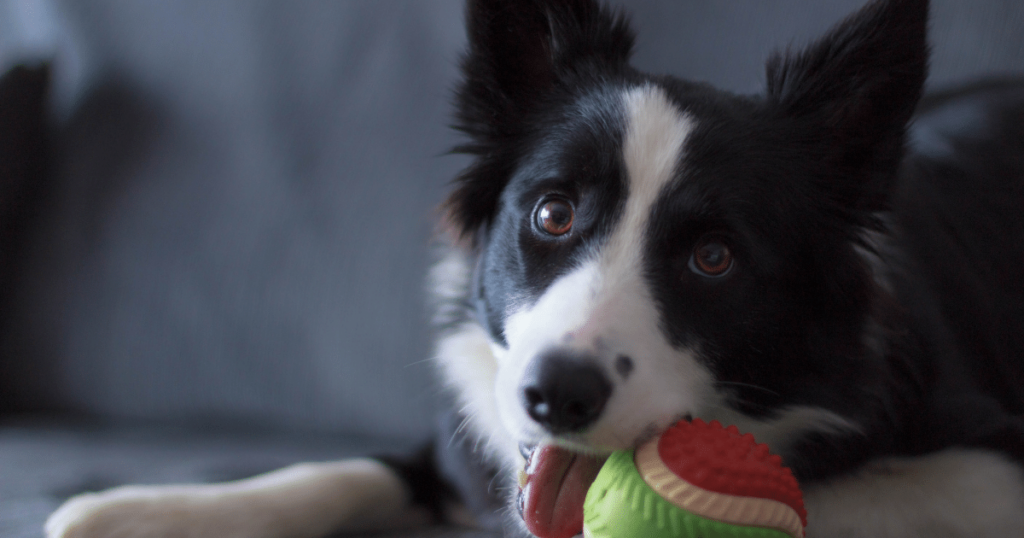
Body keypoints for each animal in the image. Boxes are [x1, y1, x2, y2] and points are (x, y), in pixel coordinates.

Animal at [46, 1, 1024, 536]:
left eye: (714, 259)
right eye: (553, 213)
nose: (557, 394)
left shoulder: (984, 460)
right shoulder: (461, 448)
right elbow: (345, 472)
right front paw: (136, 511)